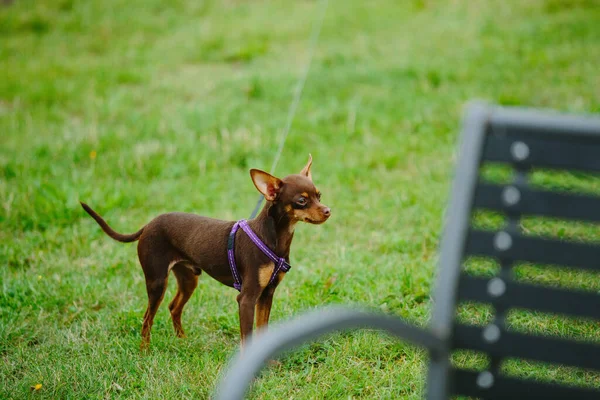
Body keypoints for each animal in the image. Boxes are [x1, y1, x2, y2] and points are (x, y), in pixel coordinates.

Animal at [80, 155, 330, 348]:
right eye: (301, 201)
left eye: (319, 195)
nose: (328, 210)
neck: (273, 238)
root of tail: (148, 225)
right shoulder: (247, 299)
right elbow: (248, 336)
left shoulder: (266, 295)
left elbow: (263, 330)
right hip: (157, 281)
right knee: (147, 318)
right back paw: (145, 350)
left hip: (188, 278)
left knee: (173, 307)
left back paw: (182, 340)